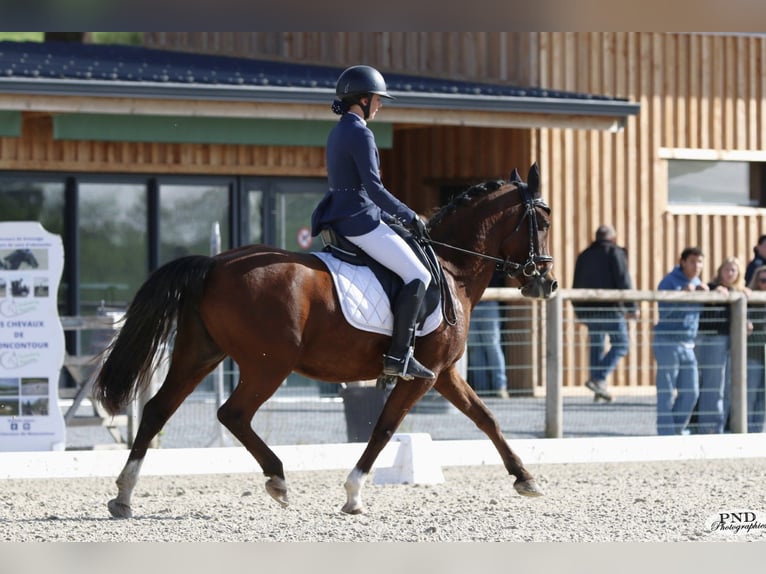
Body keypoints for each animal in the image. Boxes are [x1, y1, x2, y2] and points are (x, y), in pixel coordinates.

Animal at [92, 163, 557, 517]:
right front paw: (353, 494)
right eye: (544, 220)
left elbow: (486, 418)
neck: (452, 267)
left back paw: (123, 497)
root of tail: (213, 265)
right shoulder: (421, 375)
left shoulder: (443, 374)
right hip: (268, 364)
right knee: (233, 414)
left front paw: (526, 478)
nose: (547, 283)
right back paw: (278, 480)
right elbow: (385, 428)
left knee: (157, 410)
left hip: (200, 354)